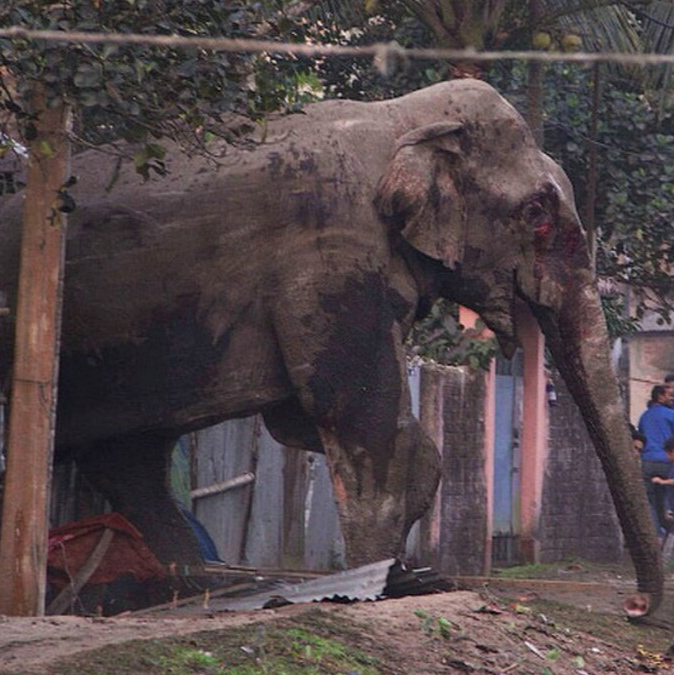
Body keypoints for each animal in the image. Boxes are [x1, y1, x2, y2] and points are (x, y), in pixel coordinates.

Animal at [0, 79, 662, 614]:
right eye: (537, 213)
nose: (634, 606)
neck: (399, 119)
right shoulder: (329, 256)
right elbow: (354, 414)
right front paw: (381, 584)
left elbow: (307, 419)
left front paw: (399, 575)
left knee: (132, 461)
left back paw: (191, 587)